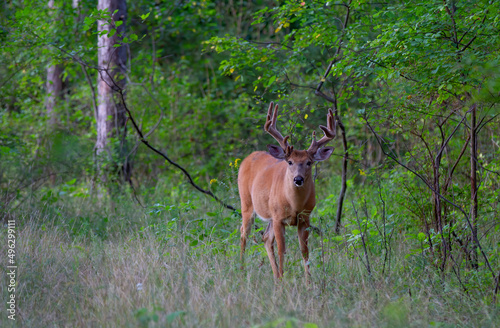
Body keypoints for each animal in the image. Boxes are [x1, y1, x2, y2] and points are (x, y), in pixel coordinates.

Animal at [237, 102, 336, 280]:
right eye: (290, 162)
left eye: (309, 162)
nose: (298, 179)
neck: (294, 204)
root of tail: (247, 158)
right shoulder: (278, 218)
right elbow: (282, 250)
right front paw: (284, 282)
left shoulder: (304, 218)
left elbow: (304, 251)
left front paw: (308, 281)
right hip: (246, 203)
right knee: (244, 233)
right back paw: (242, 271)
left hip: (268, 213)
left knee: (265, 238)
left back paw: (275, 277)